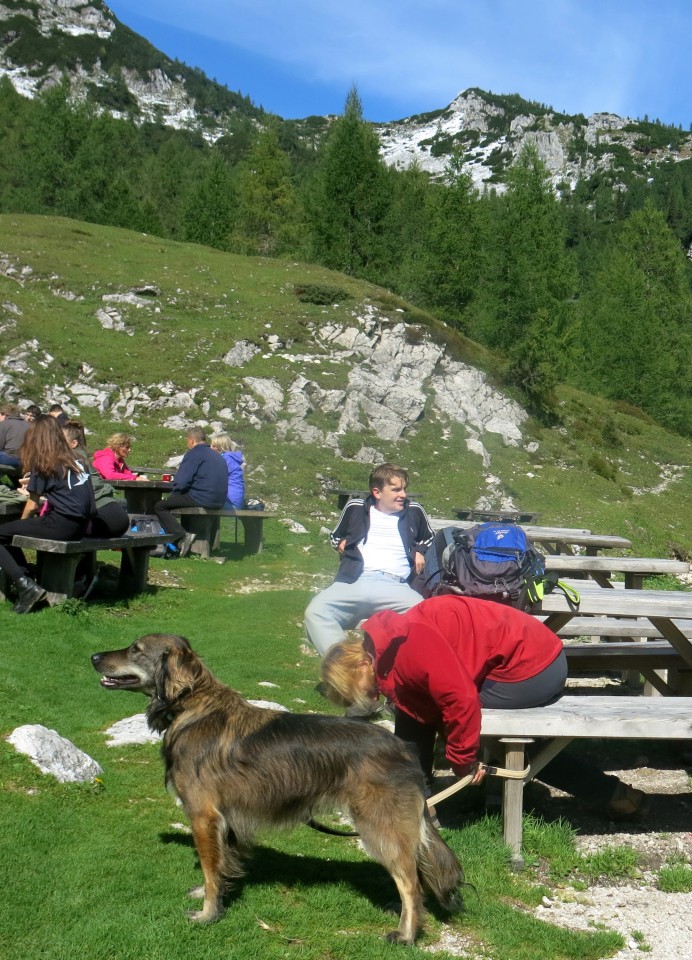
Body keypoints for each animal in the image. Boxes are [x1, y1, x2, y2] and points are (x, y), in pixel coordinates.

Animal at [90, 632, 460, 940]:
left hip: (380, 826)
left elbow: (210, 869)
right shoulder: (224, 818)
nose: (93, 656)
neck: (192, 705)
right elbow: (220, 864)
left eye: (136, 649)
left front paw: (208, 913)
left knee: (410, 884)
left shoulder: (203, 815)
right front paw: (216, 892)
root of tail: (405, 749)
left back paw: (406, 935)